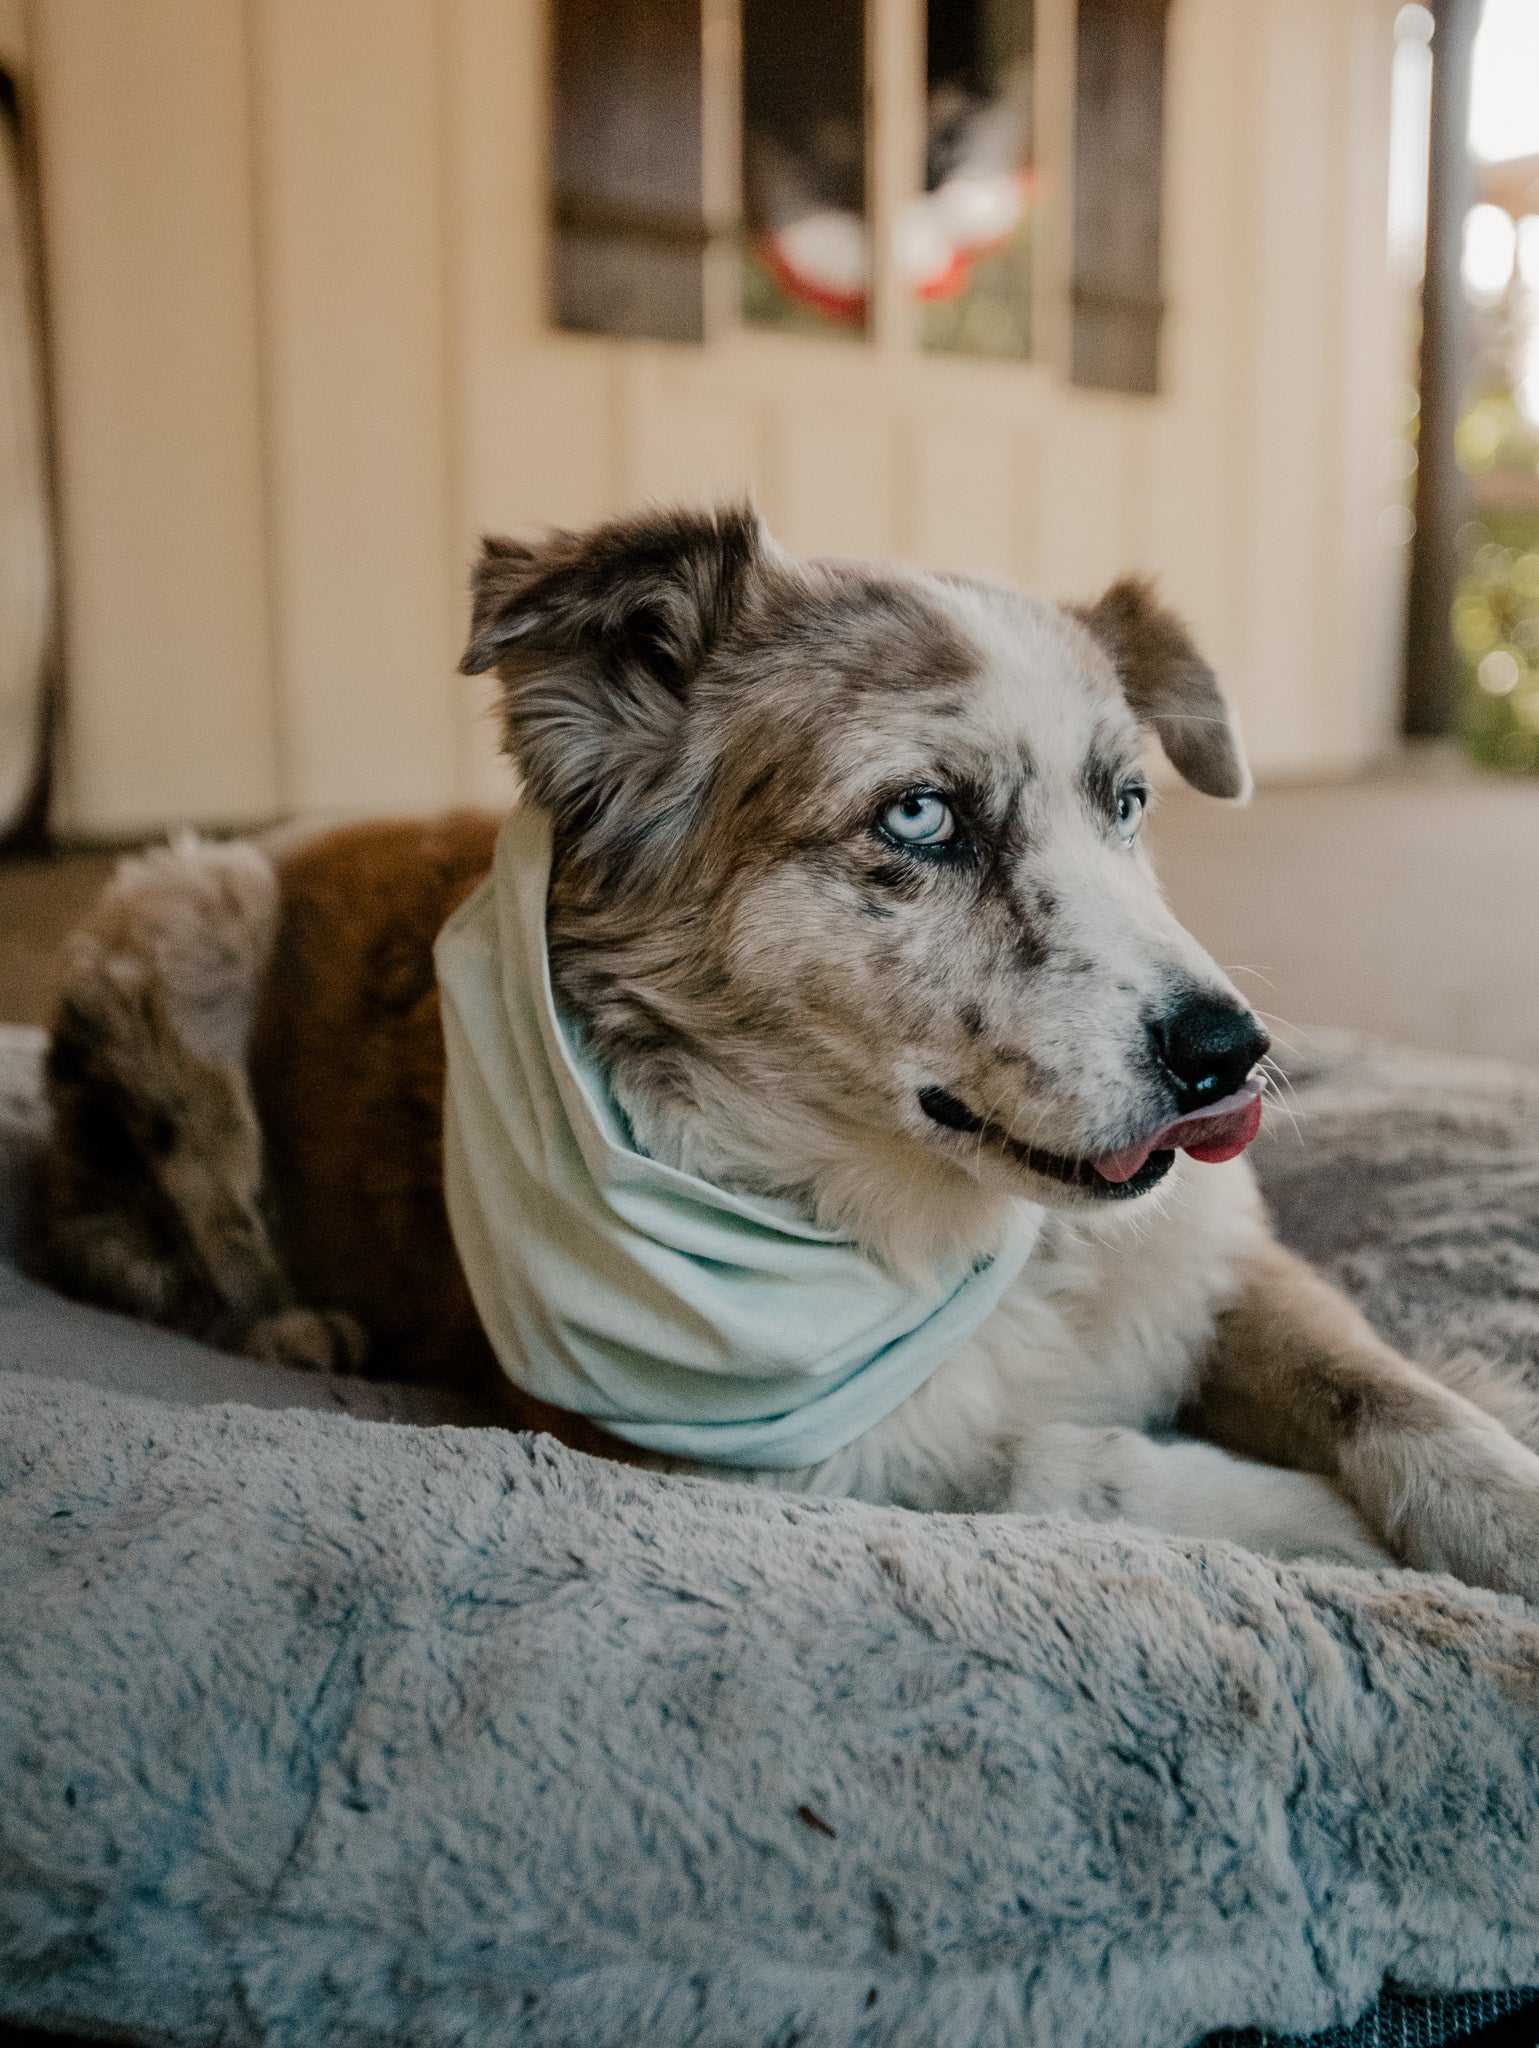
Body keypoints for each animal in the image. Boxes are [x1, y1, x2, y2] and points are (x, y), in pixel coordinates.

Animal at [33, 503, 1539, 1589]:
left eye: (1124, 802)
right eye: (920, 816)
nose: (1232, 1053)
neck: (958, 1241)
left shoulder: (1226, 1266)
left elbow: (1388, 1392)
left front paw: (1504, 1501)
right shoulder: (758, 1463)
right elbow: (1090, 1469)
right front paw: (1322, 1530)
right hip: (185, 903)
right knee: (147, 1249)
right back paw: (290, 1322)